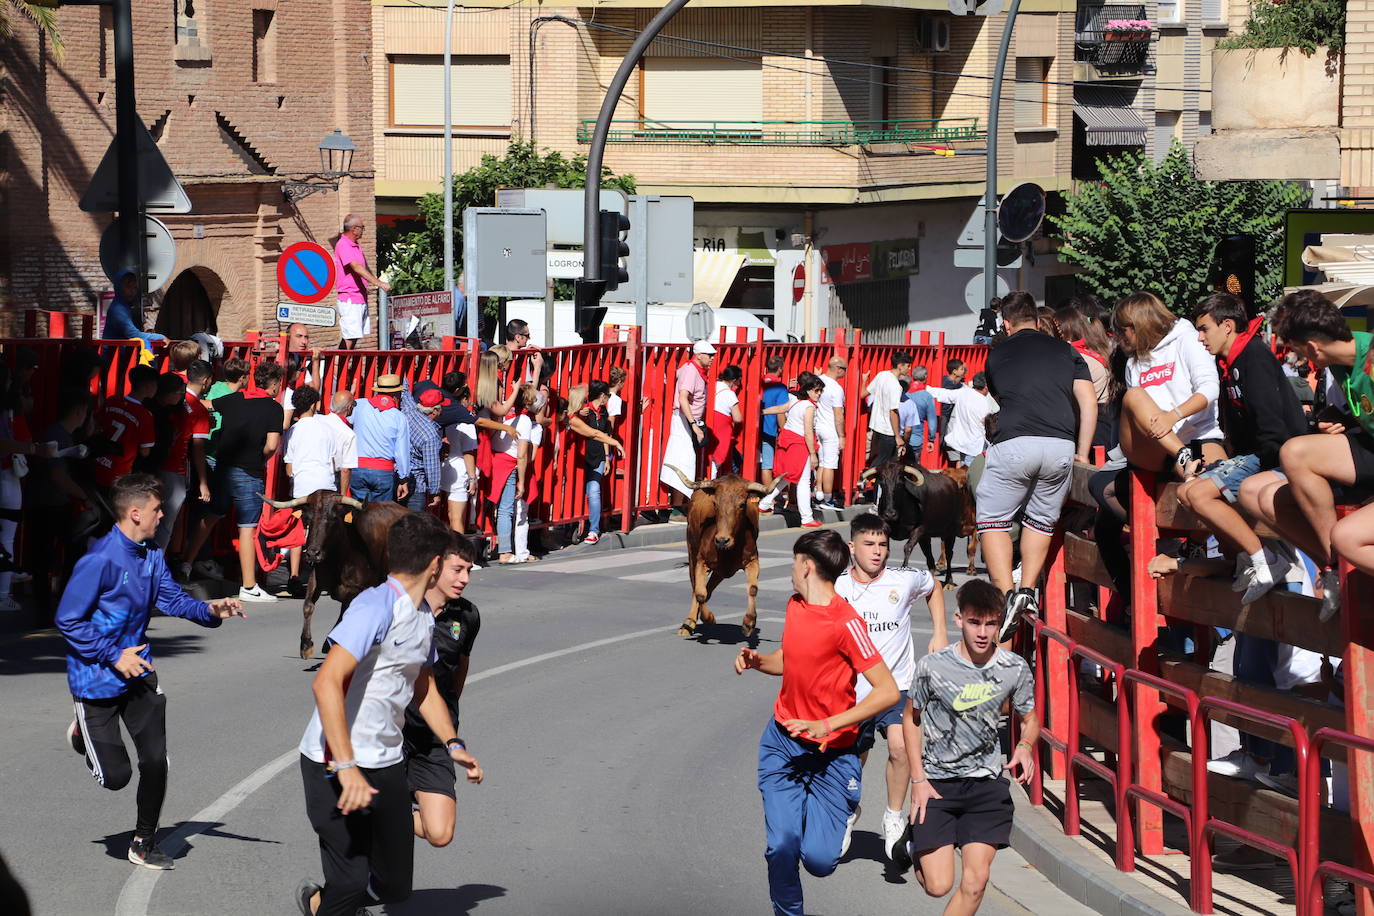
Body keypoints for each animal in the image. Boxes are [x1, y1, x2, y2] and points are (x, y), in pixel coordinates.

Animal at [258, 494, 403, 659]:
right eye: (308, 518)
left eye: (333, 518)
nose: (312, 553)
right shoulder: (316, 579)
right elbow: (308, 606)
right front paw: (306, 645)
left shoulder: (360, 588)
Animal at [665, 466, 785, 637]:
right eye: (715, 504)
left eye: (742, 504)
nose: (722, 540)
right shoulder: (701, 561)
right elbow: (700, 593)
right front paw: (708, 618)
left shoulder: (752, 560)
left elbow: (752, 589)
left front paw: (749, 623)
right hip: (692, 551)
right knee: (697, 588)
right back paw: (688, 623)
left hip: (721, 571)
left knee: (709, 589)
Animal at [857, 461, 978, 590]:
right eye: (882, 483)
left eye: (900, 483)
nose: (890, 514)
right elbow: (886, 551)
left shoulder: (919, 529)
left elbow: (907, 548)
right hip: (926, 538)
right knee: (930, 558)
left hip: (950, 532)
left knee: (949, 554)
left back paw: (949, 582)